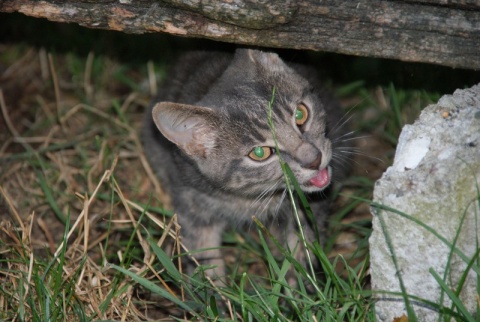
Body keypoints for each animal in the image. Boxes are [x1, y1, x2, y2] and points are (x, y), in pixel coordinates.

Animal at [142, 48, 348, 282]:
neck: (246, 198)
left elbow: (302, 240)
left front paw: (301, 281)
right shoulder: (190, 201)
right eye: (259, 153)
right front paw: (211, 289)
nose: (313, 159)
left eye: (300, 114)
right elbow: (200, 253)